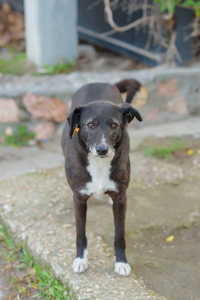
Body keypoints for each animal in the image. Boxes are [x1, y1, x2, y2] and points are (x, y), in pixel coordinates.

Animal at [61, 78, 142, 276]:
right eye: (91, 125)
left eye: (114, 125)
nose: (102, 150)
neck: (98, 163)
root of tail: (100, 81)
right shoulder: (79, 198)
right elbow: (80, 233)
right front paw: (80, 260)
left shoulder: (121, 197)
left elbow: (119, 234)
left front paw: (121, 261)